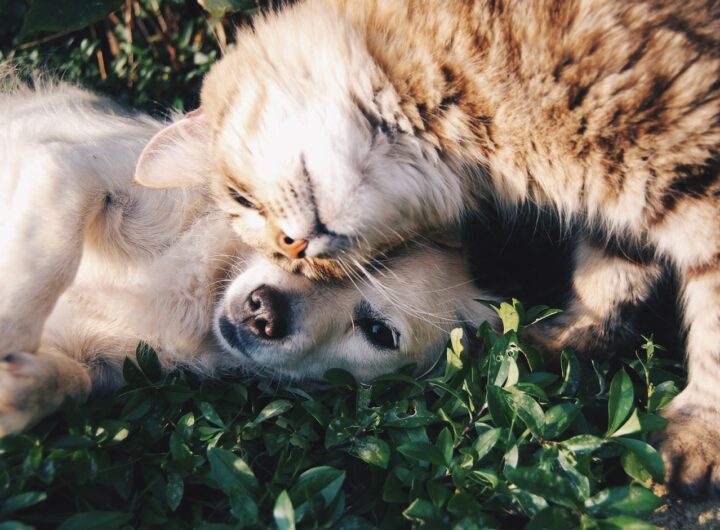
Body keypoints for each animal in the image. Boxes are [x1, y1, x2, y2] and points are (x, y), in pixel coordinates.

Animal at [134, 0, 720, 496]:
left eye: (240, 198)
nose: (293, 247)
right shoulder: (621, 205)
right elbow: (611, 276)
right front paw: (566, 339)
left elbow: (711, 329)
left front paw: (697, 436)